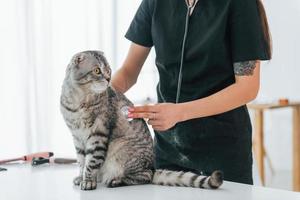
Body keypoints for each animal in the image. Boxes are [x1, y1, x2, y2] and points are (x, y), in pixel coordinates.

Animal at [59, 50, 223, 191]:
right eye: (97, 71)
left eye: (109, 70)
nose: (108, 79)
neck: (79, 100)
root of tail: (152, 167)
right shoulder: (77, 137)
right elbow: (81, 160)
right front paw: (81, 177)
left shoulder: (98, 135)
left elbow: (91, 162)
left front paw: (88, 181)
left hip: (122, 151)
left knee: (145, 176)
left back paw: (115, 180)